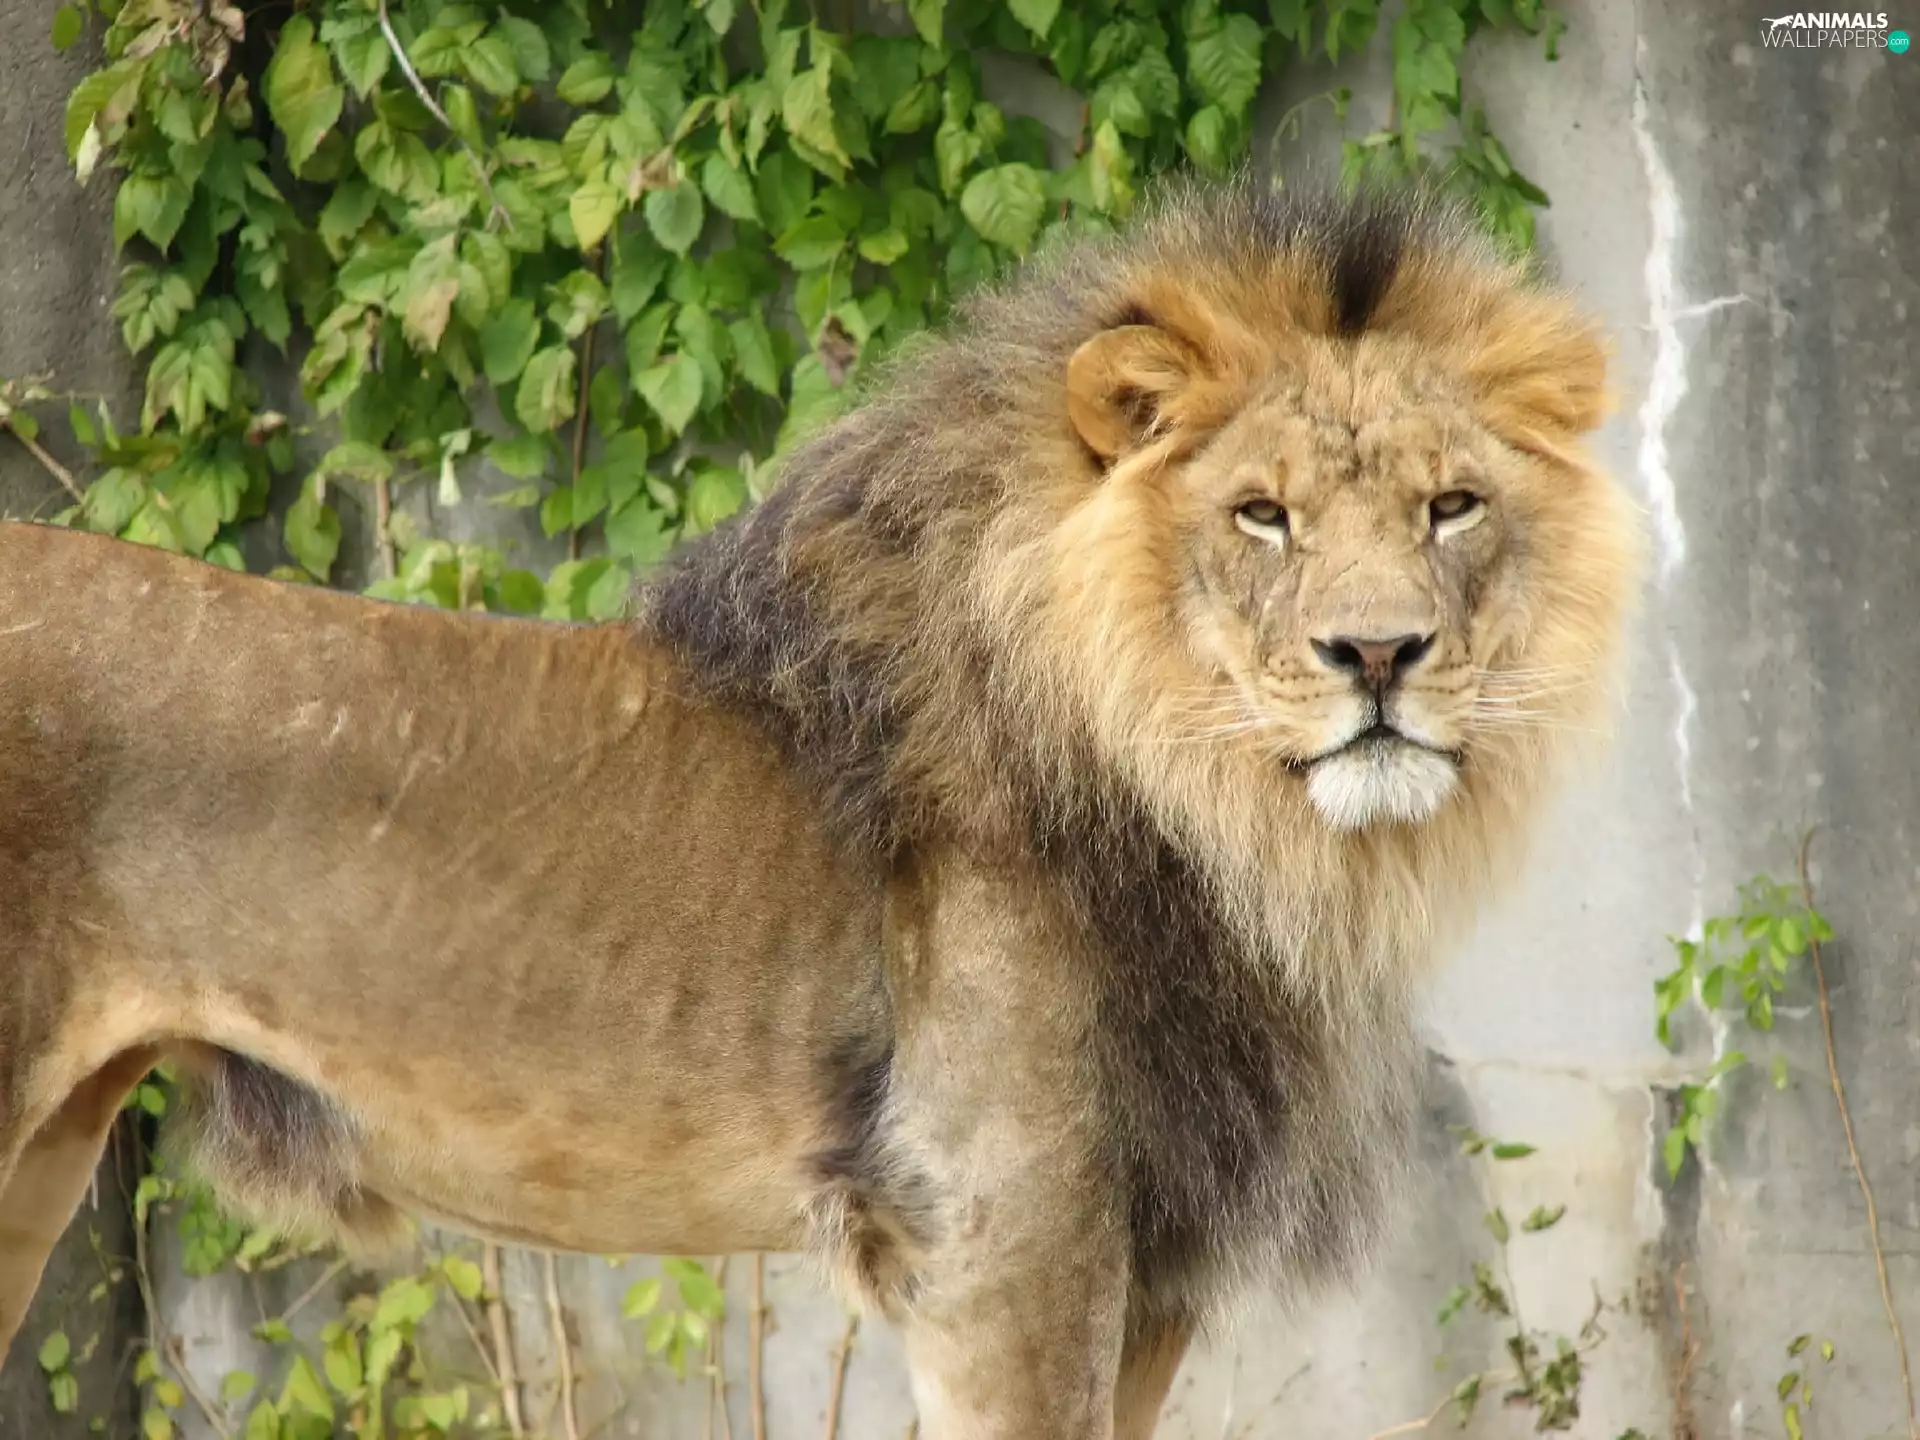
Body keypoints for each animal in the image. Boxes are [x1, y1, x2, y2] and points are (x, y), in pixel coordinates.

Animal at [0, 178, 1638, 1438]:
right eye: (1263, 515)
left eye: (1451, 508)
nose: (1379, 655)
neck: (1222, 817)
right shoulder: (1001, 1240)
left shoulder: (1147, 1262)